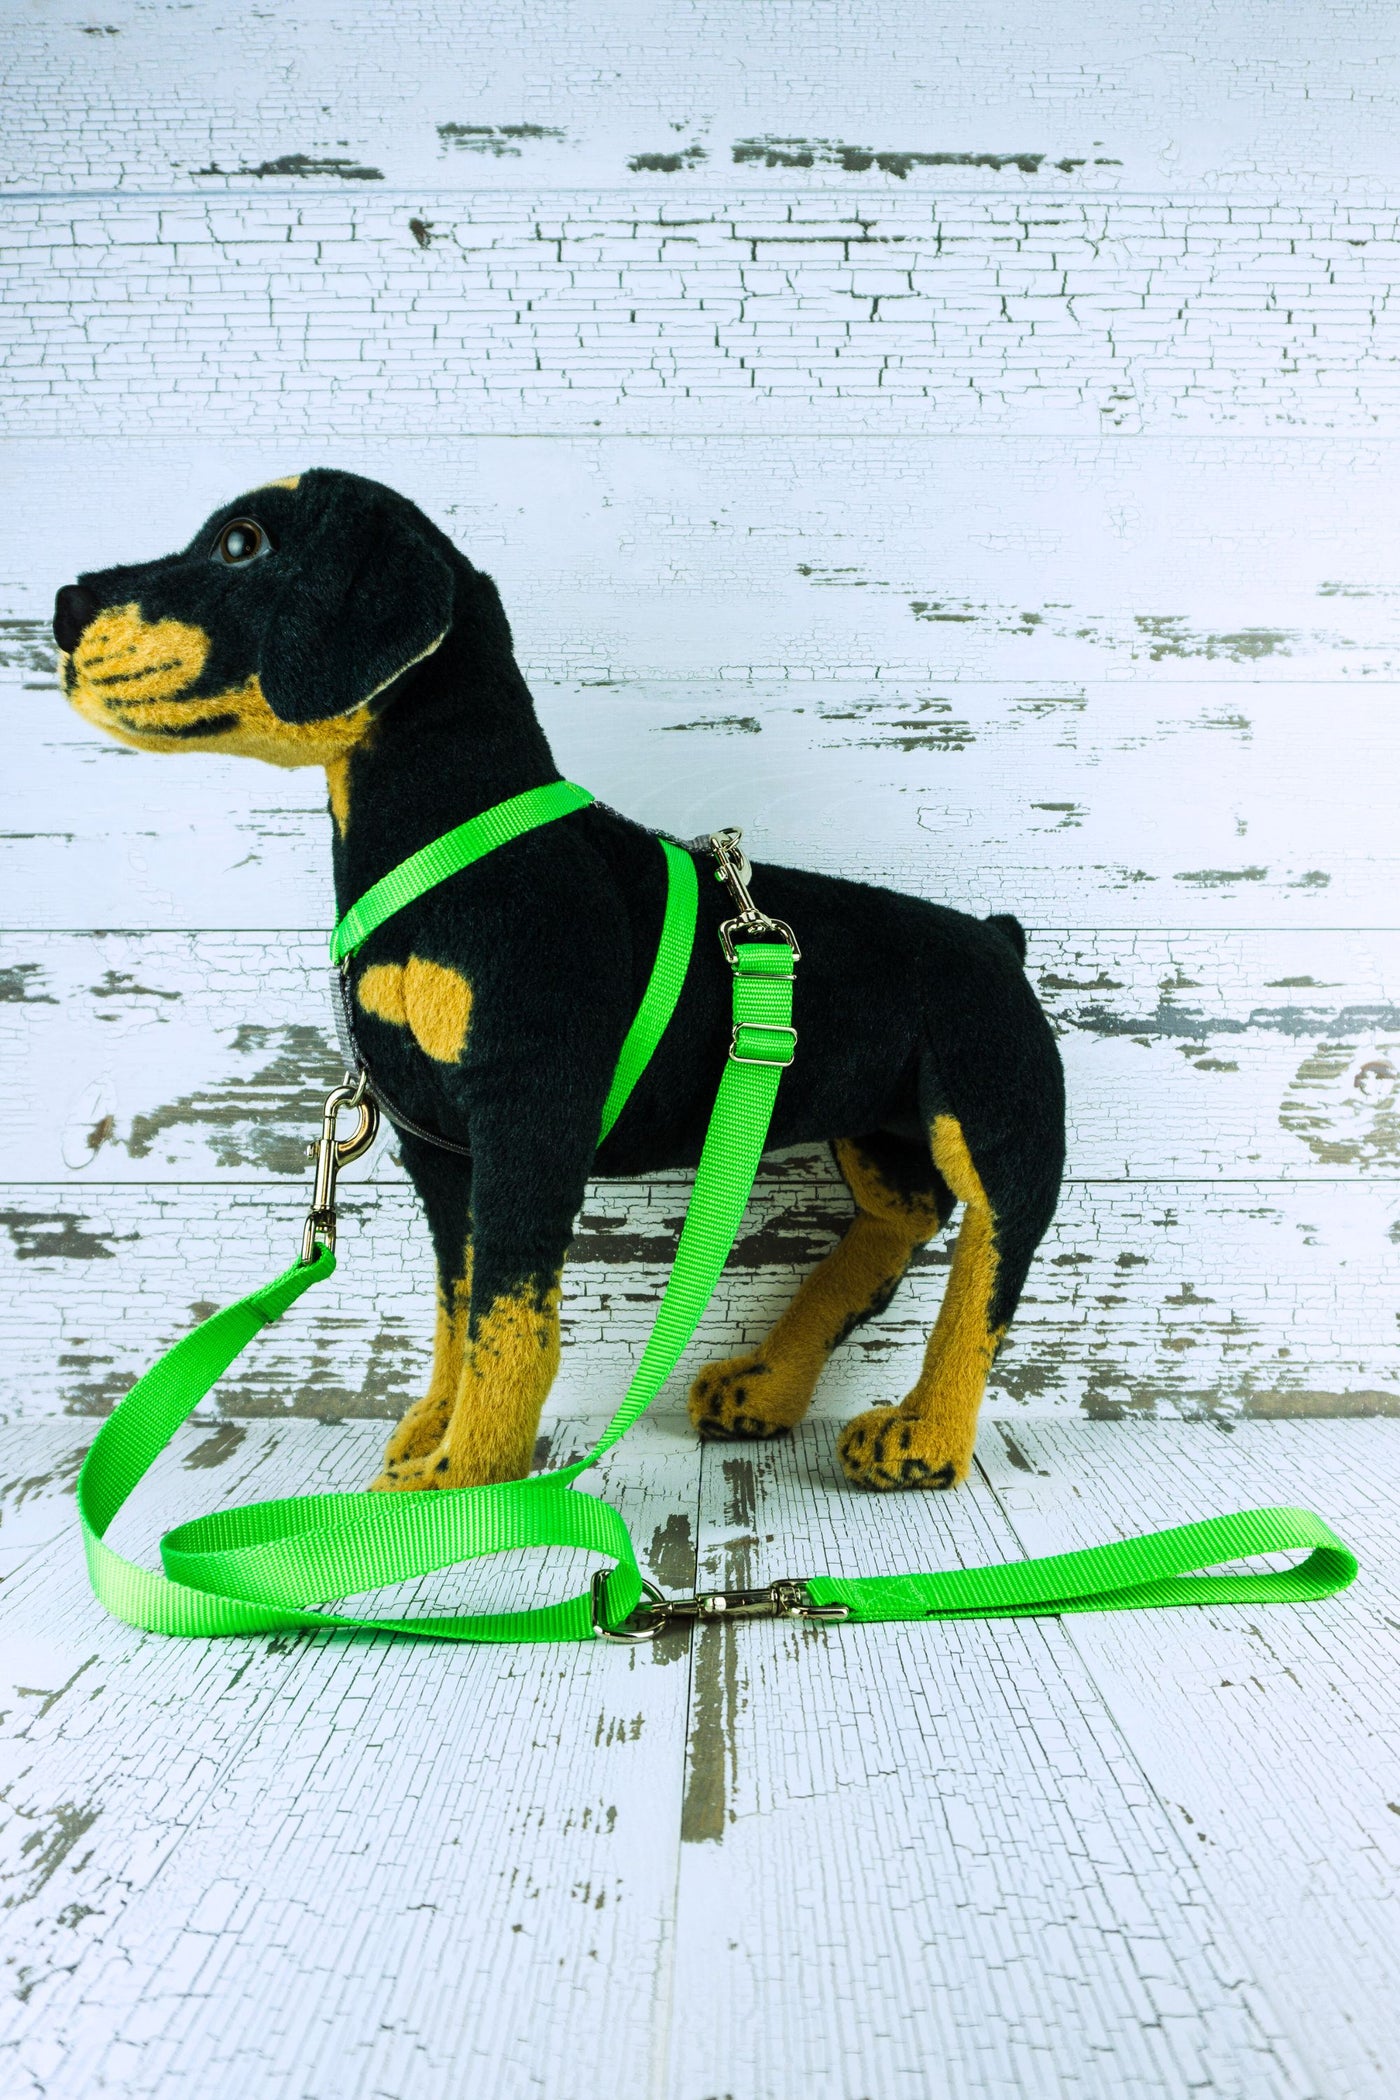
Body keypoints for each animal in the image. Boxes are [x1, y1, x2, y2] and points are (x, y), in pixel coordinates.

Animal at [51, 472, 1062, 1495]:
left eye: (242, 543)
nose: (62, 606)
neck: (444, 851)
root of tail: (996, 939)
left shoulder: (528, 1116)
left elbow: (511, 1320)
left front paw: (467, 1477)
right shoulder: (438, 1143)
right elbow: (459, 1306)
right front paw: (433, 1431)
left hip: (995, 1117)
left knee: (992, 1256)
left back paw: (924, 1433)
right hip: (879, 1130)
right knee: (900, 1222)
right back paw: (767, 1387)